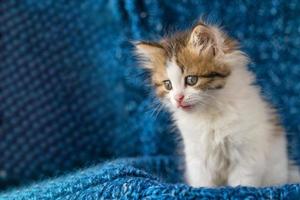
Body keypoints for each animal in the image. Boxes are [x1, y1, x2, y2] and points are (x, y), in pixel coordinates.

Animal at [135, 21, 298, 187]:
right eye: (168, 85)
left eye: (191, 80)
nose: (178, 98)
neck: (209, 113)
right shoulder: (197, 157)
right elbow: (203, 183)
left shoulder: (246, 155)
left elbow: (243, 183)